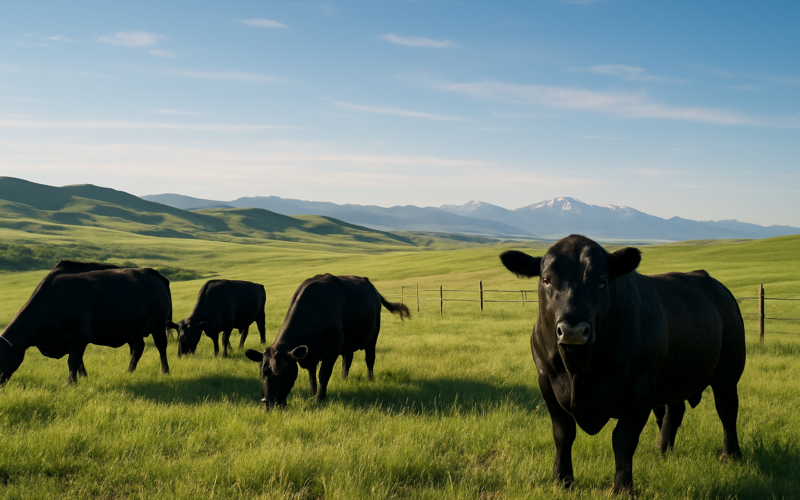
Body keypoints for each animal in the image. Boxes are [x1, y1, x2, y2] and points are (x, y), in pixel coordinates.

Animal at [0, 264, 173, 386]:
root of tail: (154, 273)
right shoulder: (74, 341)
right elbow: (78, 362)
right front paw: (81, 379)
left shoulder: (80, 336)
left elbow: (73, 361)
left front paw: (69, 383)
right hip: (134, 330)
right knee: (137, 348)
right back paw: (129, 372)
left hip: (158, 326)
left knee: (161, 347)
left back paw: (165, 371)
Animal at [244, 274, 410, 407]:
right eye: (262, 373)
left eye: (281, 371)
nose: (267, 402)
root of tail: (371, 285)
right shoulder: (309, 354)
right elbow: (312, 374)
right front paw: (311, 393)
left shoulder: (332, 350)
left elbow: (323, 374)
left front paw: (319, 398)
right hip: (348, 342)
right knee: (347, 360)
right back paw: (344, 379)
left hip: (372, 337)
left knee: (370, 359)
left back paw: (370, 380)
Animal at [500, 235, 745, 494]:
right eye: (546, 279)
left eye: (601, 281)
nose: (573, 330)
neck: (579, 370)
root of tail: (720, 289)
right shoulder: (546, 381)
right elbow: (563, 433)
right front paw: (562, 479)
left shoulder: (640, 388)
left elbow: (623, 439)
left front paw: (622, 486)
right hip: (674, 378)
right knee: (674, 411)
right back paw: (662, 449)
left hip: (728, 374)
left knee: (727, 411)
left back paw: (730, 454)